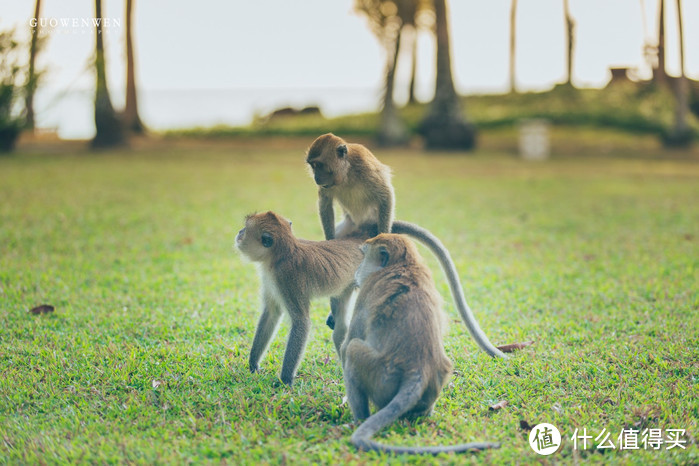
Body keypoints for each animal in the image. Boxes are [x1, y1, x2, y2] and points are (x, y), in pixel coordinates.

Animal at [235, 212, 370, 386]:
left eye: (246, 228)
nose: (239, 233)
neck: (281, 255)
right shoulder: (271, 278)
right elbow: (271, 313)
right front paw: (253, 364)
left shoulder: (286, 277)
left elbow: (301, 322)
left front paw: (285, 381)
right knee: (341, 323)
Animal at [306, 133, 508, 358]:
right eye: (312, 165)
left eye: (319, 165)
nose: (316, 178)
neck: (346, 173)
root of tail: (363, 226)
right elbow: (325, 203)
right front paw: (329, 238)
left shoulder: (364, 166)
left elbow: (385, 195)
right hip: (347, 229)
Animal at [342, 235, 500, 454]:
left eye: (364, 256)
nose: (357, 271)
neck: (405, 264)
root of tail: (418, 369)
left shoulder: (366, 292)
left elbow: (346, 346)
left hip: (380, 377)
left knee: (353, 349)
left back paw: (359, 420)